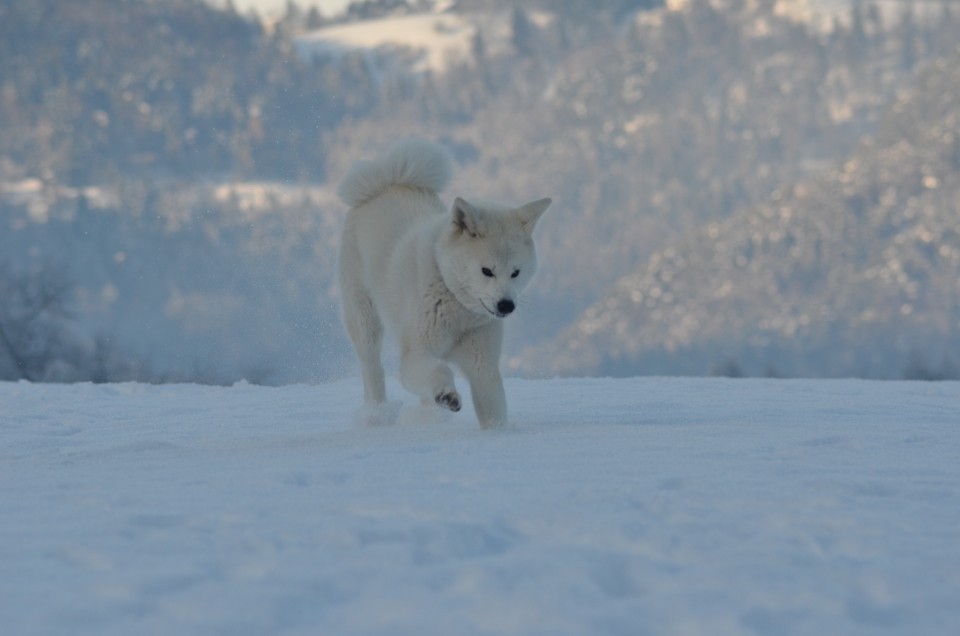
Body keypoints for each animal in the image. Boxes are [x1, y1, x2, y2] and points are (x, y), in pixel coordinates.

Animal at [338, 139, 552, 428]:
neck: (455, 302)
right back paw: (378, 414)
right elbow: (439, 370)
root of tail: (387, 182)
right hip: (363, 315)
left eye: (516, 272)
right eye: (487, 271)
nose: (506, 305)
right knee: (372, 367)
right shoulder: (415, 353)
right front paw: (447, 395)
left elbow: (493, 407)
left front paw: (498, 433)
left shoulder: (482, 363)